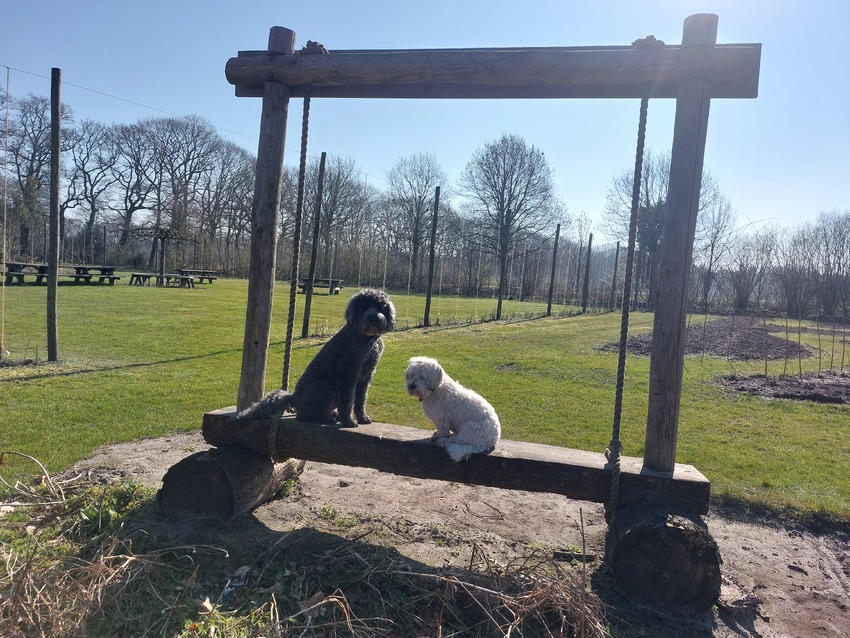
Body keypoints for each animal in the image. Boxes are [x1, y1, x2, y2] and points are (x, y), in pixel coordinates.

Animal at [236, 288, 396, 427]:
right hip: (325, 387)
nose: (374, 317)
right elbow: (348, 401)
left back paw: (333, 416)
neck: (367, 340)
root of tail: (293, 398)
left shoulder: (365, 378)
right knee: (305, 416)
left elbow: (361, 400)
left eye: (381, 306)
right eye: (363, 306)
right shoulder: (348, 375)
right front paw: (349, 421)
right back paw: (328, 418)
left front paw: (363, 418)